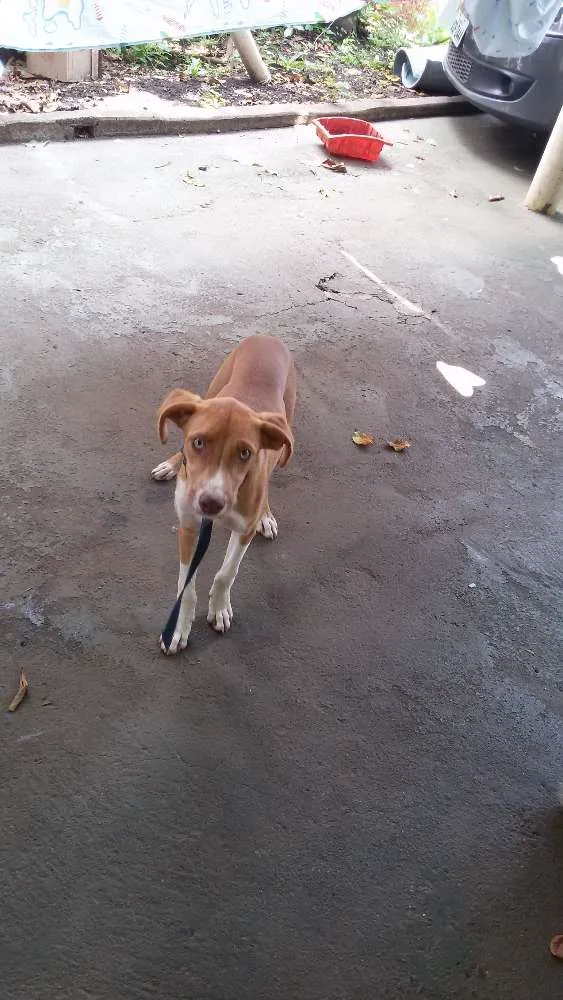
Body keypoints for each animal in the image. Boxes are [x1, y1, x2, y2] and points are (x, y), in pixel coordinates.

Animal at [152, 332, 298, 652]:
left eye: (245, 453)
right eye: (198, 442)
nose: (210, 503)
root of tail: (266, 337)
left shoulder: (244, 530)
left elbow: (227, 573)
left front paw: (219, 608)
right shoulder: (188, 526)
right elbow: (185, 585)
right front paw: (178, 626)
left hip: (286, 426)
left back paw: (266, 515)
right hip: (211, 390)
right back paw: (169, 466)